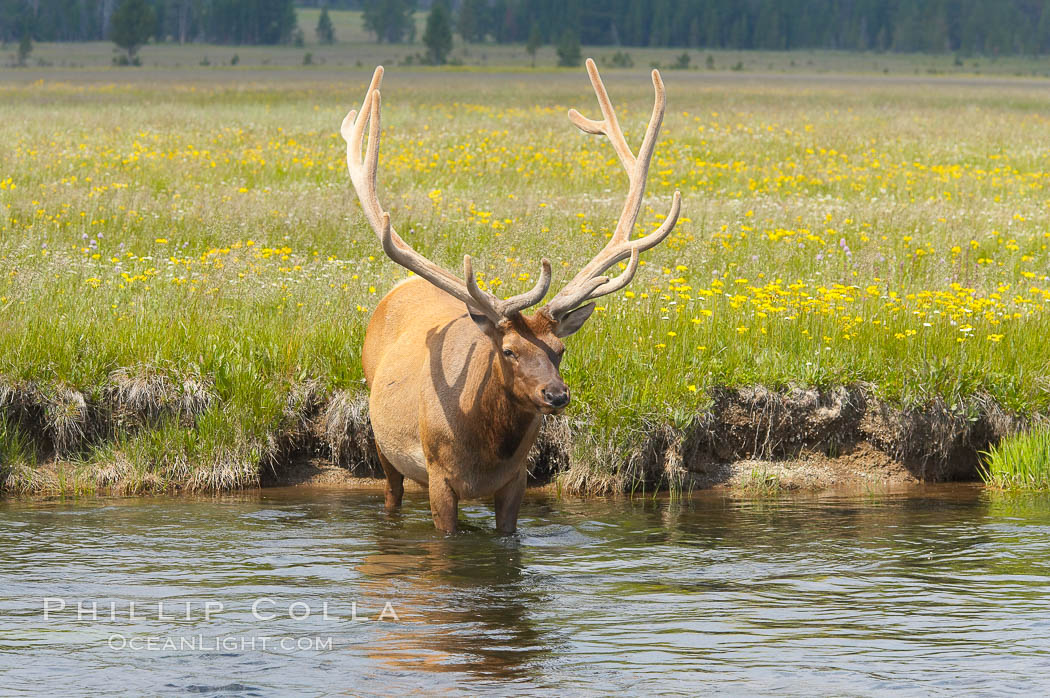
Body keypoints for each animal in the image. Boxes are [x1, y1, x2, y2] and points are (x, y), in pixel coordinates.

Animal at [344, 59, 684, 531]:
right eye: (508, 350)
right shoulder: (438, 477)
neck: (484, 453)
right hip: (383, 442)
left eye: (560, 348)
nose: (556, 395)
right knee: (390, 496)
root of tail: (400, 287)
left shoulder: (517, 479)